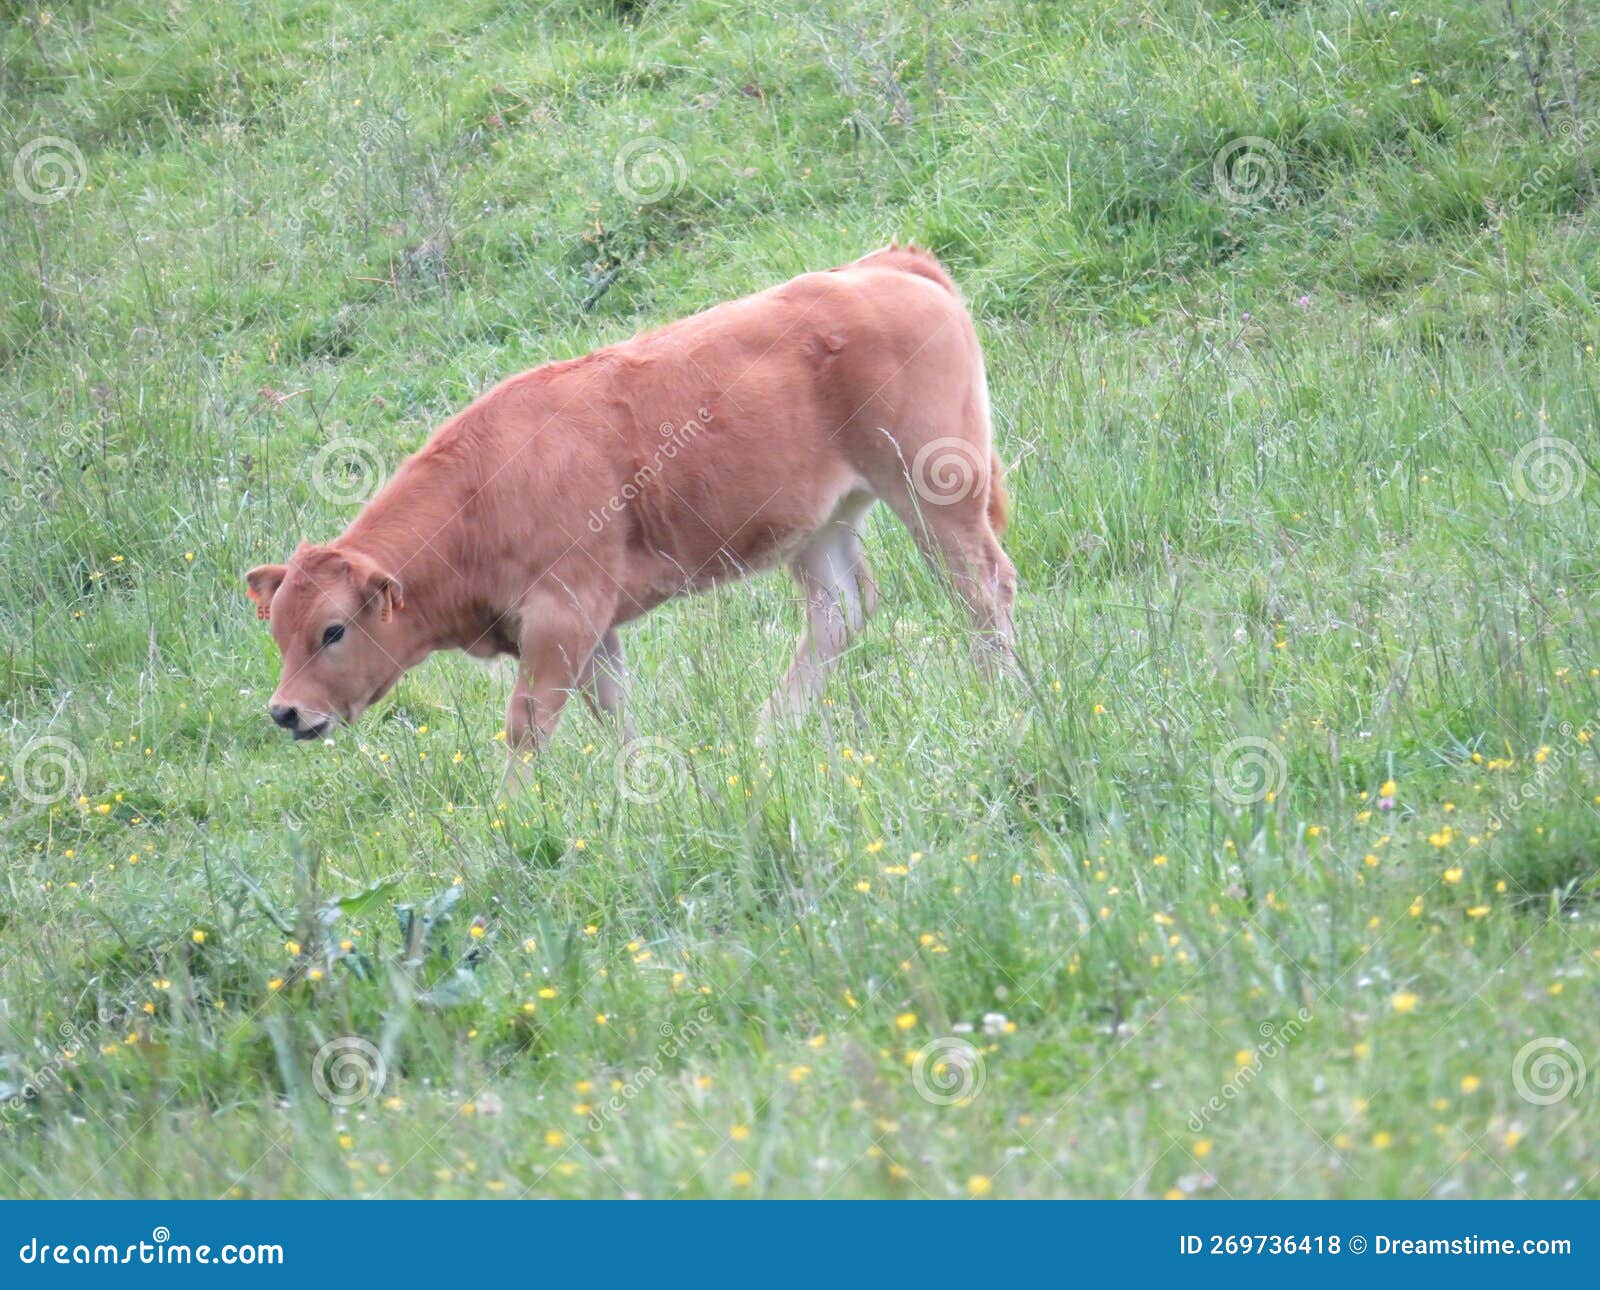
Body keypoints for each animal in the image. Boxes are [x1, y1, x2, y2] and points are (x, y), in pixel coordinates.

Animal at [243, 248, 1017, 758]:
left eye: (334, 630)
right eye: (278, 629)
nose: (285, 712)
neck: (481, 492)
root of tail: (888, 266)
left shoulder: (563, 619)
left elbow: (528, 726)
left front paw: (513, 818)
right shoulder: (594, 631)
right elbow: (612, 714)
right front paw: (639, 781)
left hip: (933, 489)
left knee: (981, 586)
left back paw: (1002, 695)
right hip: (819, 526)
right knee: (841, 612)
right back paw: (768, 730)